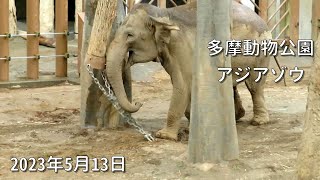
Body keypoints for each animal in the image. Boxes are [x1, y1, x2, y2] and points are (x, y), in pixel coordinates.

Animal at [106, 0, 272, 140]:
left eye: (130, 35)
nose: (138, 103)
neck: (162, 14)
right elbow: (184, 85)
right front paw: (191, 127)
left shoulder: (182, 47)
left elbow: (182, 85)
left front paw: (164, 136)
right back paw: (235, 117)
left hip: (259, 52)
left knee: (254, 86)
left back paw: (258, 122)